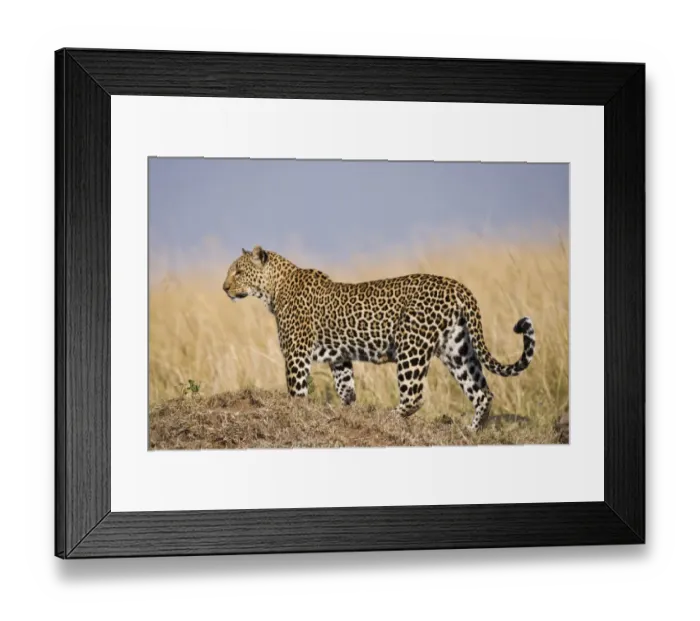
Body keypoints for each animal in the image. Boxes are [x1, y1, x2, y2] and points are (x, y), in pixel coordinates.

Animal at [223, 245, 536, 430]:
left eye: (238, 271)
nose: (224, 287)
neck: (274, 289)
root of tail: (457, 286)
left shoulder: (296, 354)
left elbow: (297, 391)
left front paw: (296, 413)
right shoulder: (340, 357)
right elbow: (346, 389)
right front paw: (346, 413)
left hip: (412, 347)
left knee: (414, 396)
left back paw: (389, 417)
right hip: (457, 348)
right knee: (482, 392)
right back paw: (471, 431)